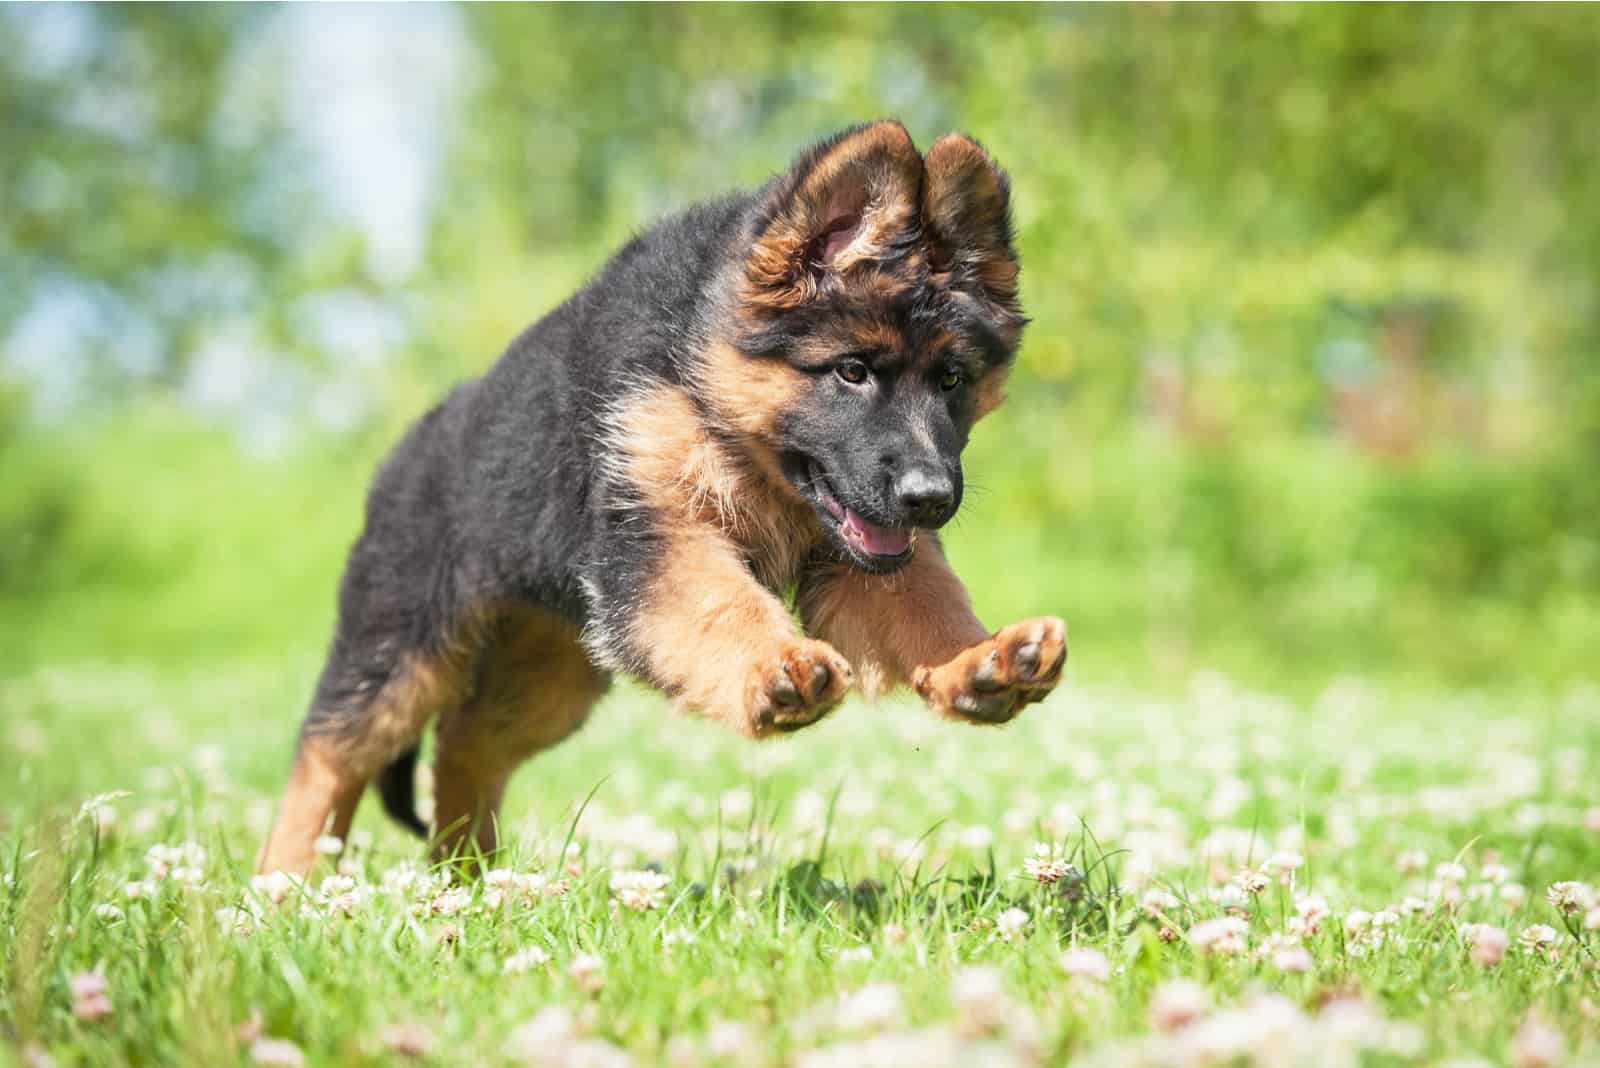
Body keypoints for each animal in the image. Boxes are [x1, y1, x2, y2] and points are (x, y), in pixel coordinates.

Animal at [259, 123, 1062, 876]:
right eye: (853, 371)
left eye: (953, 381)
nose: (932, 499)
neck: (710, 387)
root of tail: (401, 457)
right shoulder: (661, 536)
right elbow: (722, 602)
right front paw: (775, 669)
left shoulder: (857, 554)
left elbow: (924, 603)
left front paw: (980, 661)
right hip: (401, 648)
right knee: (332, 751)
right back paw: (287, 884)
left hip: (554, 667)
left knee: (466, 744)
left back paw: (469, 878)